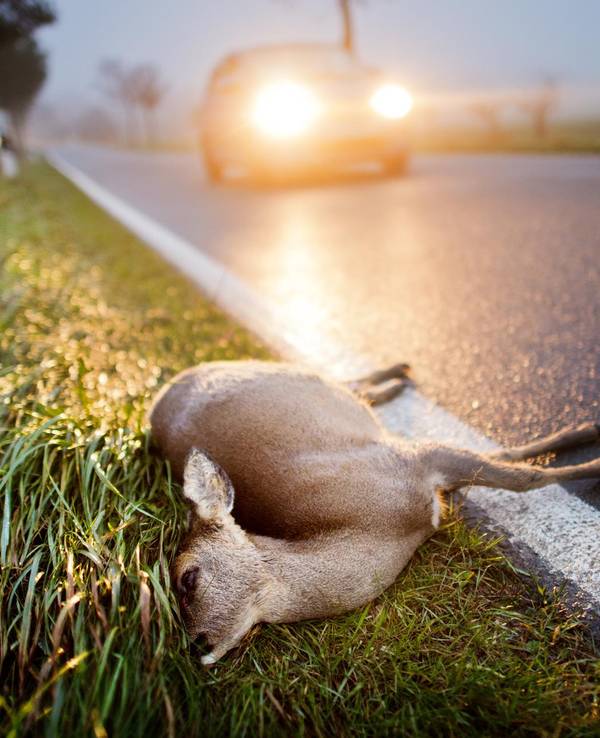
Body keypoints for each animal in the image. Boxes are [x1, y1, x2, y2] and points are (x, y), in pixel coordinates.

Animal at [149, 360, 600, 665]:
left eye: (187, 577)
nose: (196, 646)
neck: (384, 527)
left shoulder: (412, 460)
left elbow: (523, 476)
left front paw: (589, 452)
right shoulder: (419, 465)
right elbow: (509, 464)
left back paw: (399, 375)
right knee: (349, 384)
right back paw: (397, 379)